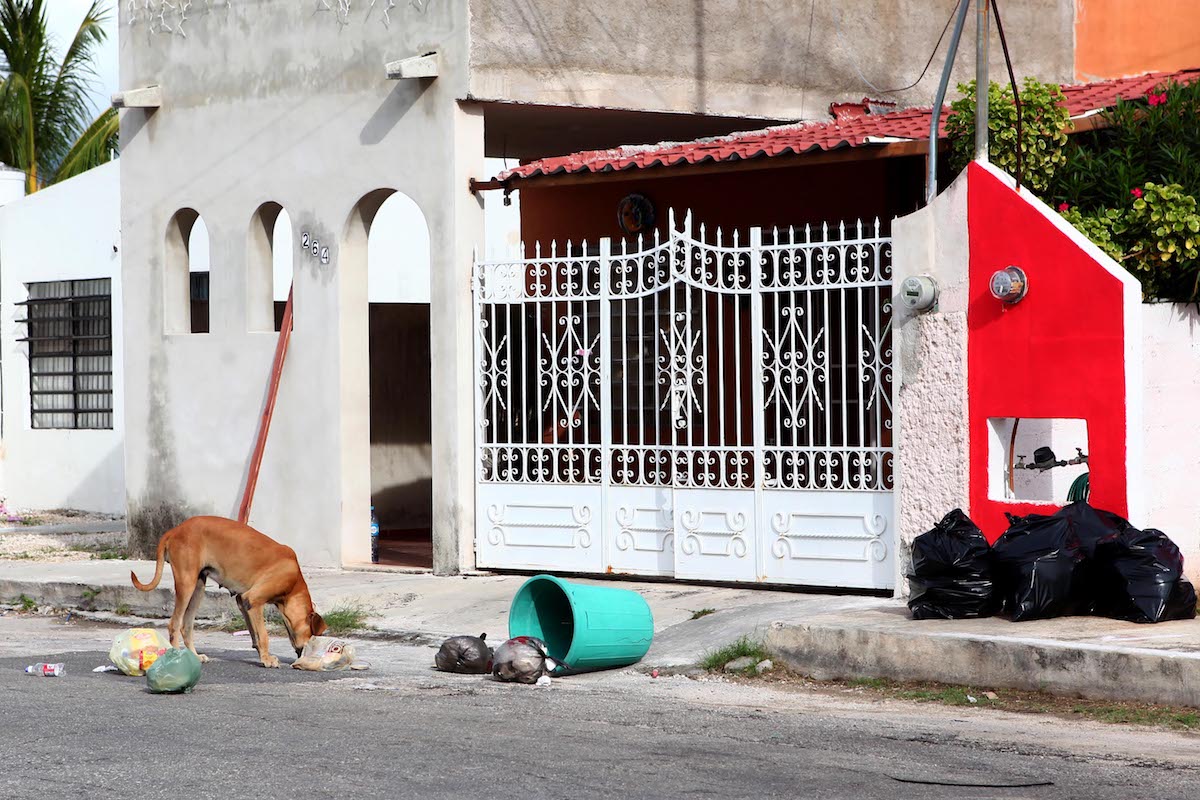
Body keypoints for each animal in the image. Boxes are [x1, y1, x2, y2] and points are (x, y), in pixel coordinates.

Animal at [129, 515, 326, 666]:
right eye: (314, 636)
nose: (301, 656)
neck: (294, 584)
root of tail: (175, 530)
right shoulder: (254, 600)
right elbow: (263, 635)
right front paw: (267, 659)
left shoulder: (243, 601)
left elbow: (255, 633)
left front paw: (261, 654)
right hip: (186, 584)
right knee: (174, 624)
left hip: (198, 587)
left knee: (186, 626)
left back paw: (194, 656)